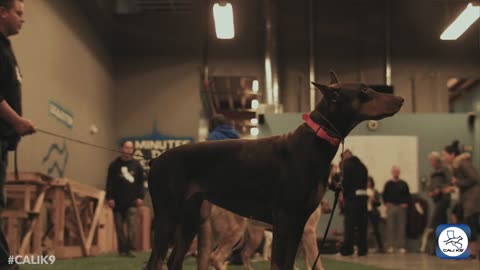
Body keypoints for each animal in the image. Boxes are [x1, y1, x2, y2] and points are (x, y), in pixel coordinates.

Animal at [144, 70, 404, 268]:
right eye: (364, 91)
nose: (401, 99)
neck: (314, 142)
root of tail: (155, 161)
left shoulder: (298, 222)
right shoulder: (284, 219)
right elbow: (279, 263)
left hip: (190, 218)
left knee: (173, 260)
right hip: (169, 216)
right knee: (155, 261)